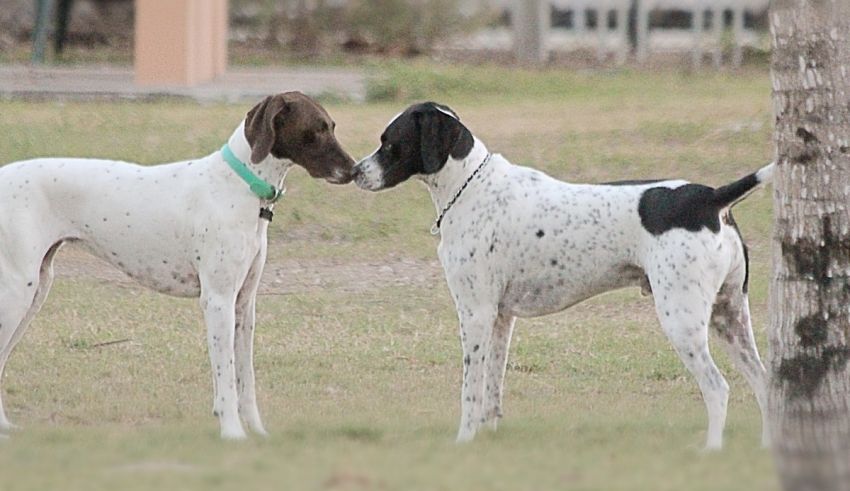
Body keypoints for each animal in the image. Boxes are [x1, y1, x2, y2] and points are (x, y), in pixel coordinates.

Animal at [0, 91, 352, 438]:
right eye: (318, 128)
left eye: (332, 125)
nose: (353, 170)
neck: (238, 185)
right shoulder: (217, 302)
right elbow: (226, 378)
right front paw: (233, 433)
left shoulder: (244, 304)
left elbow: (245, 379)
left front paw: (258, 432)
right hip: (18, 292)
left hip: (37, 290)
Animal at [352, 103, 768, 450]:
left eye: (390, 142)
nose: (355, 171)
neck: (471, 188)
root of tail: (711, 198)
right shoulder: (501, 318)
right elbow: (492, 391)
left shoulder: (476, 315)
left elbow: (471, 391)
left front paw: (464, 442)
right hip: (730, 318)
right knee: (765, 383)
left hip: (683, 321)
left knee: (718, 388)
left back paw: (711, 450)